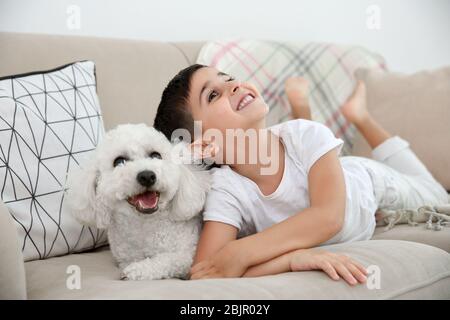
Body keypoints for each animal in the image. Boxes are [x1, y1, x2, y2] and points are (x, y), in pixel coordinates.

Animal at [64, 124, 209, 278]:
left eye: (156, 155)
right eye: (119, 161)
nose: (147, 176)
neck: (144, 225)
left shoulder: (187, 255)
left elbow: (165, 260)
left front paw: (137, 270)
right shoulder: (125, 258)